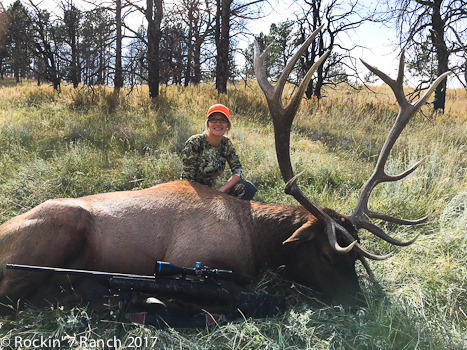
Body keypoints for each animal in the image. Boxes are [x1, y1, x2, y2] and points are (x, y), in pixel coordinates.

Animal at [0, 26, 450, 308]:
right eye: (326, 253)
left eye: (356, 258)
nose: (360, 305)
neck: (256, 240)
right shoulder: (192, 259)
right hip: (53, 232)